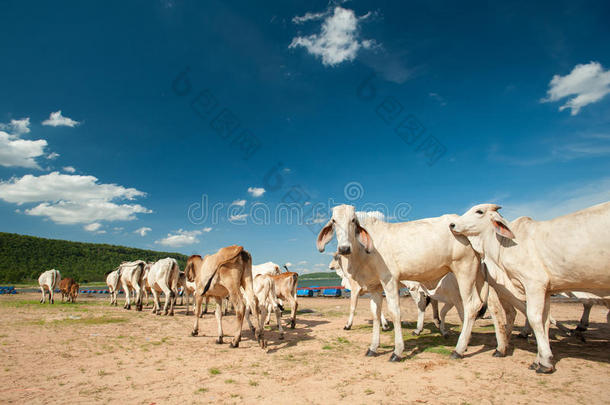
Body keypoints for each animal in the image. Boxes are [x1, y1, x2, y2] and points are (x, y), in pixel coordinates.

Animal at [316, 205, 486, 360]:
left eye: (353, 220)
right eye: (334, 221)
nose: (344, 248)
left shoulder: (388, 280)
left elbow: (394, 312)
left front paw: (397, 351)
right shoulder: (374, 287)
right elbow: (376, 314)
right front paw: (373, 347)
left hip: (464, 269)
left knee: (471, 306)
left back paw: (458, 349)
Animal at [448, 202, 608, 372]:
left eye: (479, 211)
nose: (452, 224)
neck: (505, 245)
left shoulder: (534, 284)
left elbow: (533, 318)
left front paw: (544, 361)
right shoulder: (544, 289)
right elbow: (543, 321)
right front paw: (541, 358)